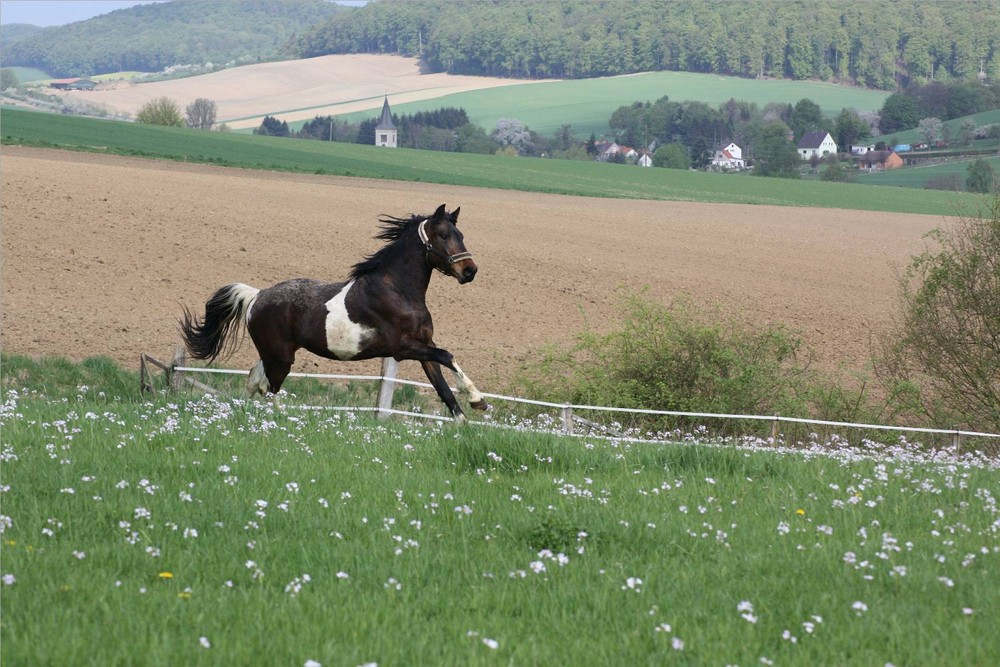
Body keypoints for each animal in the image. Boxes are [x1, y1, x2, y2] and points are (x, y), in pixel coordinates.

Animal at [181, 204, 492, 422]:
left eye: (461, 235)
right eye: (443, 235)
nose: (470, 271)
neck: (398, 290)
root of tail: (257, 296)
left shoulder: (424, 347)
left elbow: (444, 388)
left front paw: (465, 420)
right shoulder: (403, 348)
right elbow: (448, 356)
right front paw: (479, 400)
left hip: (272, 354)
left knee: (254, 381)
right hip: (280, 358)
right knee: (269, 391)